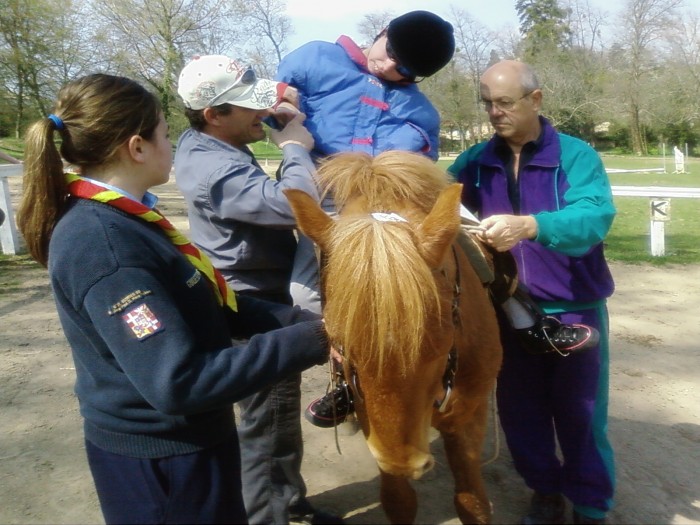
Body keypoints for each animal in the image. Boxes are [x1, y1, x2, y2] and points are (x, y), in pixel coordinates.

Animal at [284, 149, 504, 520]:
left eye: (444, 338)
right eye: (339, 344)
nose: (403, 462)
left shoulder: (467, 418)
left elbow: (472, 501)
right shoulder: (372, 419)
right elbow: (398, 501)